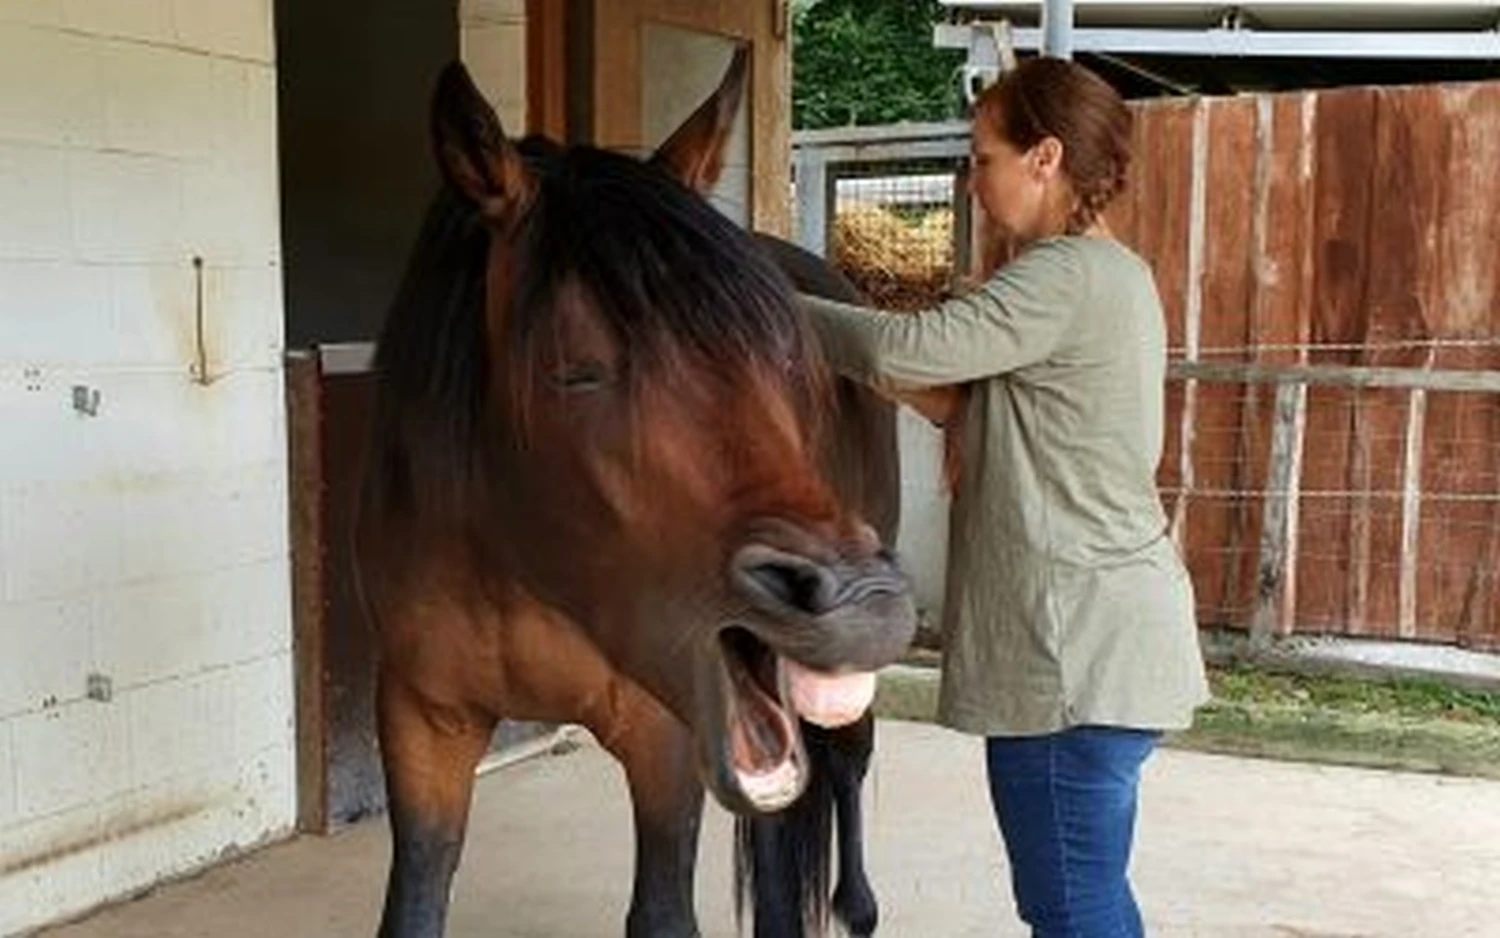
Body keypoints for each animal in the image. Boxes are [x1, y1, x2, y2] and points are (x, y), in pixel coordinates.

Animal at [360, 51, 924, 936]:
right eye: (576, 371)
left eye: (786, 353)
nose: (862, 602)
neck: (523, 562)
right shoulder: (423, 719)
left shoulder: (666, 734)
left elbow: (662, 911)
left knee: (845, 762)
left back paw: (856, 905)